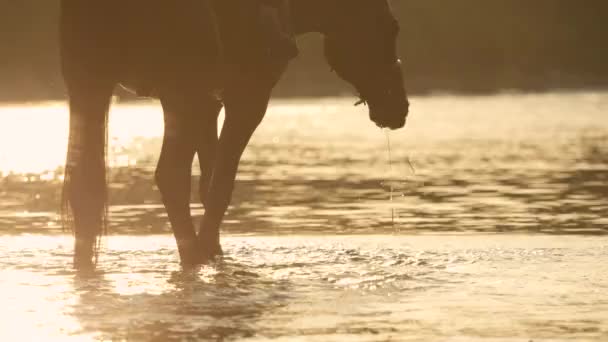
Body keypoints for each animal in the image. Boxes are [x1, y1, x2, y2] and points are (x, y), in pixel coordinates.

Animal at [61, 0, 410, 270]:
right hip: (177, 96)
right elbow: (220, 187)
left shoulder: (210, 103)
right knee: (170, 176)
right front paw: (208, 252)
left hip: (90, 87)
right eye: (391, 27)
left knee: (85, 186)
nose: (399, 109)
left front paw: (216, 254)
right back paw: (191, 258)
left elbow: (208, 184)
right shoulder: (247, 98)